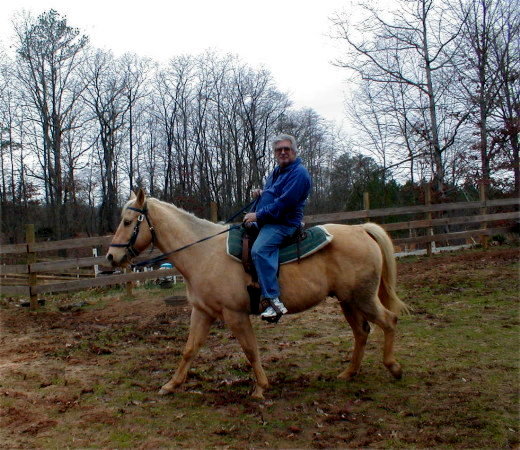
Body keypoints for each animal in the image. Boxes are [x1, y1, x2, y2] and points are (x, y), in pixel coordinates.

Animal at [106, 188, 406, 400]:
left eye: (128, 221)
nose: (111, 257)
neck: (204, 252)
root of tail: (361, 229)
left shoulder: (235, 314)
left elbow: (250, 350)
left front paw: (261, 387)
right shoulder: (202, 312)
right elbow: (190, 349)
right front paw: (171, 385)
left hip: (363, 298)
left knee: (389, 321)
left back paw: (393, 367)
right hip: (348, 300)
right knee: (362, 332)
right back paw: (349, 372)